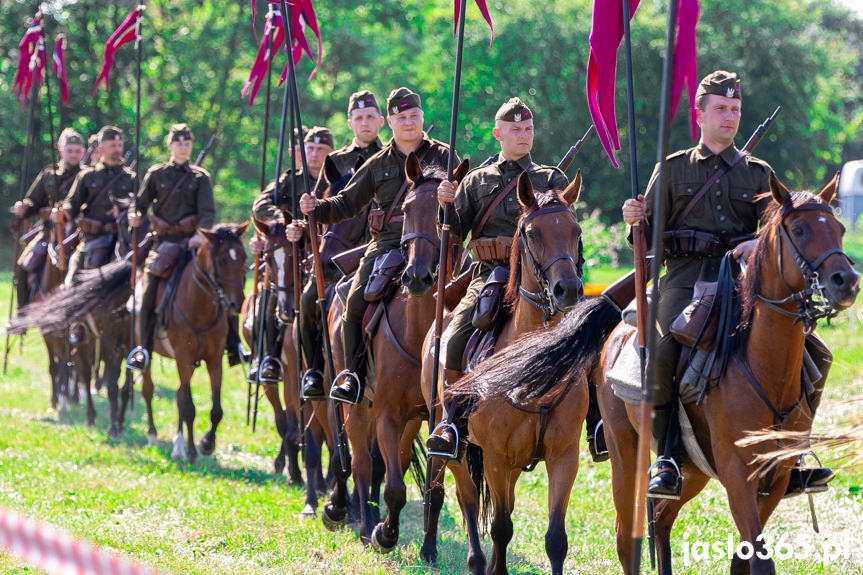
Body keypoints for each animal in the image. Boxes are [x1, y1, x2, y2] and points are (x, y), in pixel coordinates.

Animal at [318, 155, 470, 552]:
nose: (417, 276)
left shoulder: (423, 419)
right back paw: (352, 516)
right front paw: (382, 534)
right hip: (354, 400)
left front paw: (400, 534)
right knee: (354, 458)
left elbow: (406, 477)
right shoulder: (387, 413)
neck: (419, 331)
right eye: (407, 208)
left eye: (444, 212)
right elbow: (393, 485)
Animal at [424, 171, 592, 575]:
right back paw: (469, 559)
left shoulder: (564, 457)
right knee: (465, 497)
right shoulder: (496, 457)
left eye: (576, 230)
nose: (568, 290)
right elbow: (500, 527)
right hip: (455, 445)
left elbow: (556, 539)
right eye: (532, 233)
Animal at [452, 176, 856, 575]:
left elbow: (745, 557)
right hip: (623, 451)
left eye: (839, 229)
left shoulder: (776, 477)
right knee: (620, 531)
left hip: (691, 471)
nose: (846, 280)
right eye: (799, 229)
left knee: (659, 519)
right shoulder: (737, 473)